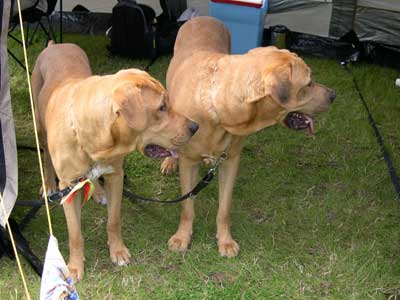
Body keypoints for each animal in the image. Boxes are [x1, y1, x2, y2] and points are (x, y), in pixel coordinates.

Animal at [32, 42, 198, 282]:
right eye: (161, 108)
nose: (195, 127)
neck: (93, 140)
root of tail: (56, 44)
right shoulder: (69, 189)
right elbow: (75, 235)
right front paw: (74, 267)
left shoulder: (116, 176)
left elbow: (113, 220)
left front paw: (117, 251)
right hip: (39, 126)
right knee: (45, 156)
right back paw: (48, 184)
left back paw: (99, 192)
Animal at [161, 17, 336, 258]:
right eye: (308, 84)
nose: (333, 95)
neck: (217, 111)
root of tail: (203, 17)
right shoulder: (188, 163)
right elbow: (187, 206)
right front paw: (182, 237)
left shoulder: (230, 161)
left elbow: (224, 208)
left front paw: (225, 241)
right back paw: (170, 160)